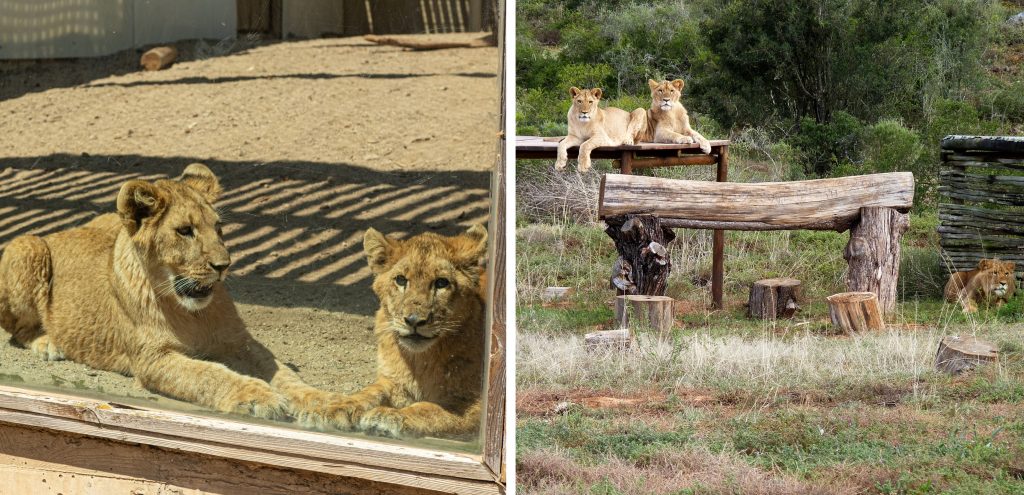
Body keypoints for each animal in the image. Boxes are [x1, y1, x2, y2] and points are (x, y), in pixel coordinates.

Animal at [0, 165, 323, 420]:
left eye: (218, 228)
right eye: (185, 231)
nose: (224, 265)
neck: (193, 314)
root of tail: (59, 232)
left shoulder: (240, 342)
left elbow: (282, 372)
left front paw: (327, 405)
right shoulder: (152, 360)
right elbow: (209, 374)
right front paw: (258, 397)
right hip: (27, 246)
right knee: (18, 330)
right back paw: (48, 344)